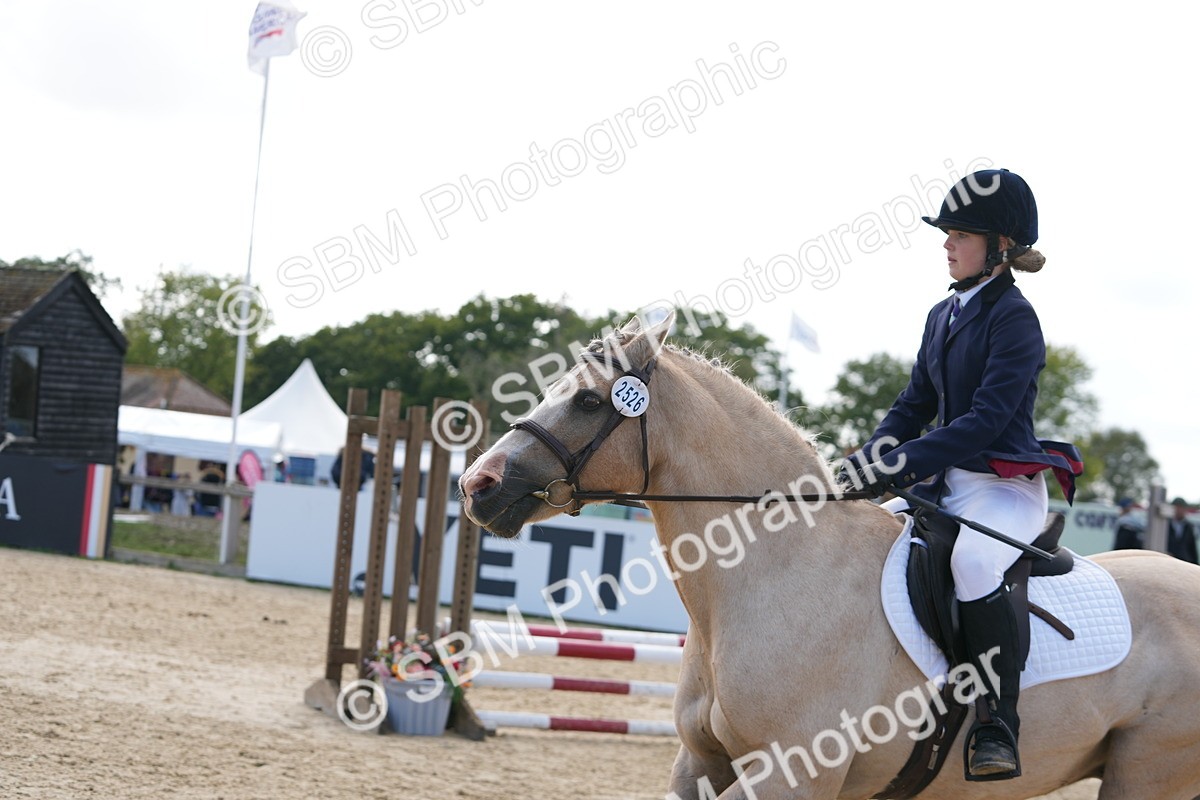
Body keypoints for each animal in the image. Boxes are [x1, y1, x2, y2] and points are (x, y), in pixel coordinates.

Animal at [459, 312, 1200, 799]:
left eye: (588, 400)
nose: (477, 484)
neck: (773, 571)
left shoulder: (792, 774)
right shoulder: (699, 766)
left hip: (1148, 773)